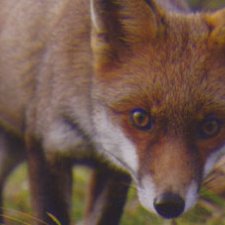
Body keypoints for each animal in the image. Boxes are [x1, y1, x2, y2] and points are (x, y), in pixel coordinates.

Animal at [0, 0, 225, 224]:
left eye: (210, 127)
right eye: (140, 118)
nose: (169, 204)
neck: (93, 137)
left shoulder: (116, 168)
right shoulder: (44, 146)